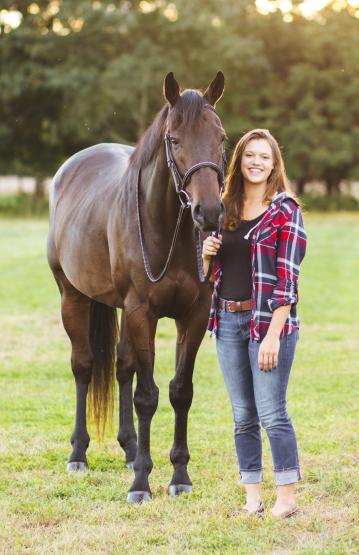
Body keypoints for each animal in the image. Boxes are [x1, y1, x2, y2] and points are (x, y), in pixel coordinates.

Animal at [47, 70, 226, 504]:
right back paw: (79, 453)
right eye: (174, 139)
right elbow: (147, 396)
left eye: (222, 138)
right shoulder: (142, 311)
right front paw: (142, 483)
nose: (210, 212)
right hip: (73, 297)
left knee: (122, 367)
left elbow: (180, 391)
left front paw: (179, 475)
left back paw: (129, 449)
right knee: (83, 366)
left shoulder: (193, 315)